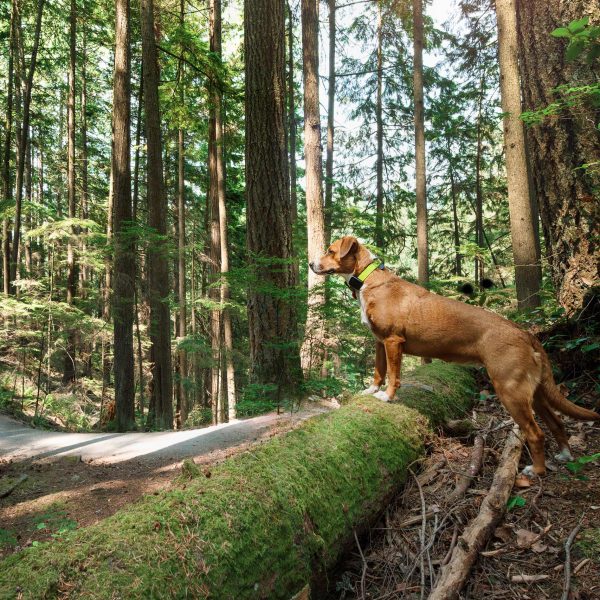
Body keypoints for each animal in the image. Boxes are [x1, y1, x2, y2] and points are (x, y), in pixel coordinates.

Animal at [310, 237, 600, 476]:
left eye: (330, 251)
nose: (312, 264)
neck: (368, 279)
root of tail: (525, 333)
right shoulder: (380, 343)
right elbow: (378, 372)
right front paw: (371, 391)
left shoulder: (393, 341)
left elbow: (393, 375)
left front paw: (388, 397)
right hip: (536, 393)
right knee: (557, 423)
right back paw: (564, 454)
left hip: (510, 391)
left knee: (536, 433)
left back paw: (535, 471)